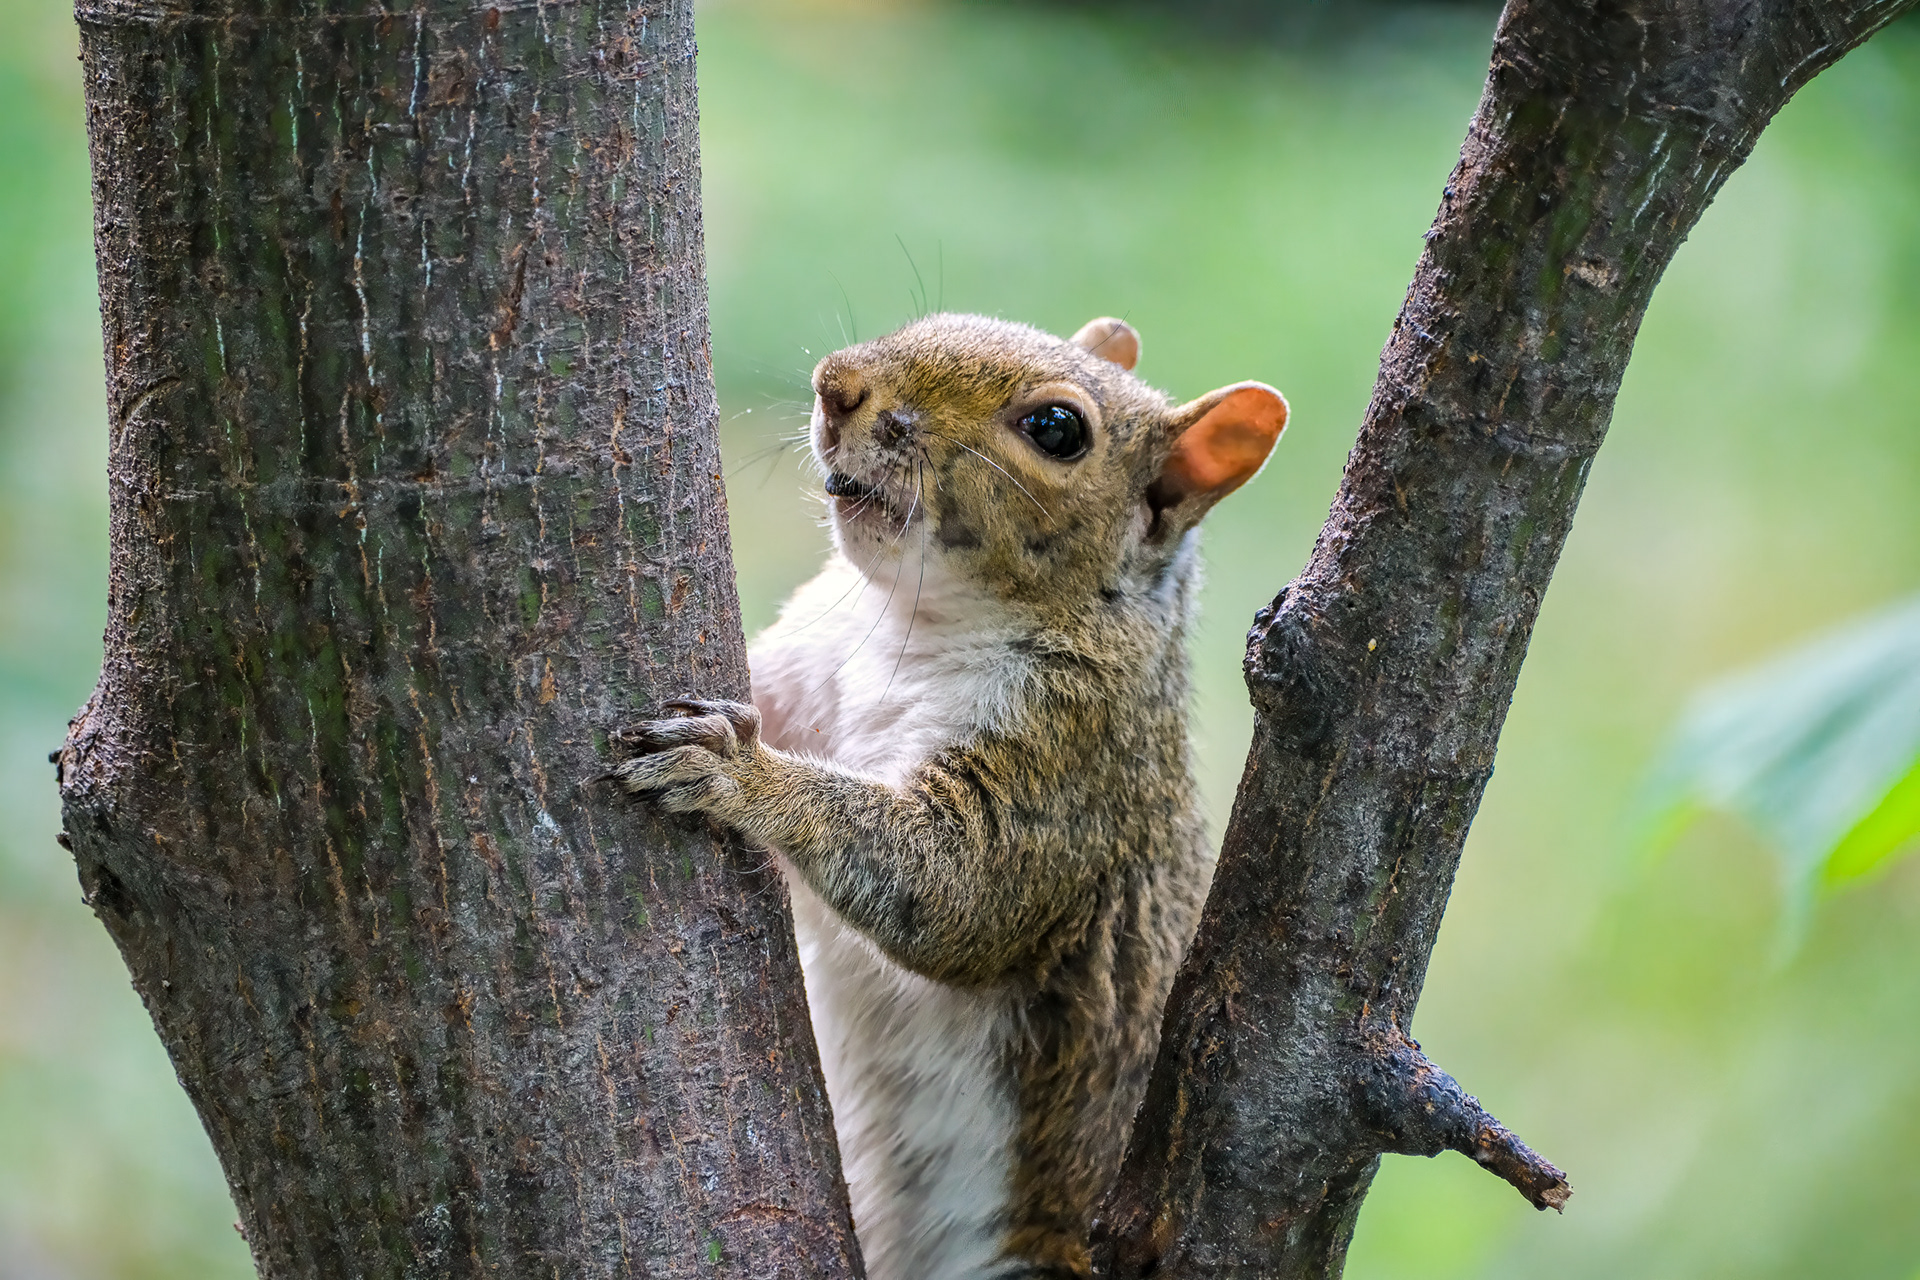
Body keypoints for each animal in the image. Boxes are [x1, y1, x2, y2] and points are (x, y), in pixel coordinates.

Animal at [612, 313, 1286, 1280]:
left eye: (1056, 430)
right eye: (930, 322)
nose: (837, 386)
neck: (907, 621)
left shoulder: (1069, 762)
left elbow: (957, 887)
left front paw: (738, 774)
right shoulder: (804, 666)